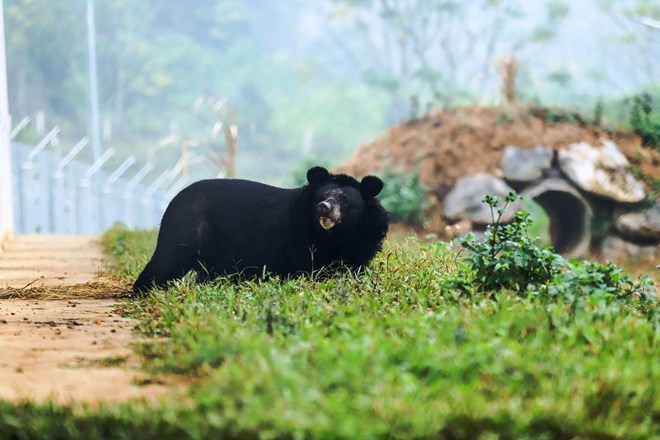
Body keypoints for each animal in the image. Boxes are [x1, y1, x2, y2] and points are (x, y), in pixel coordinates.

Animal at [134, 165, 390, 292]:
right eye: (322, 196)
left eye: (345, 201)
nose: (323, 208)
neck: (334, 237)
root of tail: (175, 199)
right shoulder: (298, 239)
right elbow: (308, 268)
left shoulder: (363, 242)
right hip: (186, 226)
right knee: (168, 260)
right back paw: (145, 289)